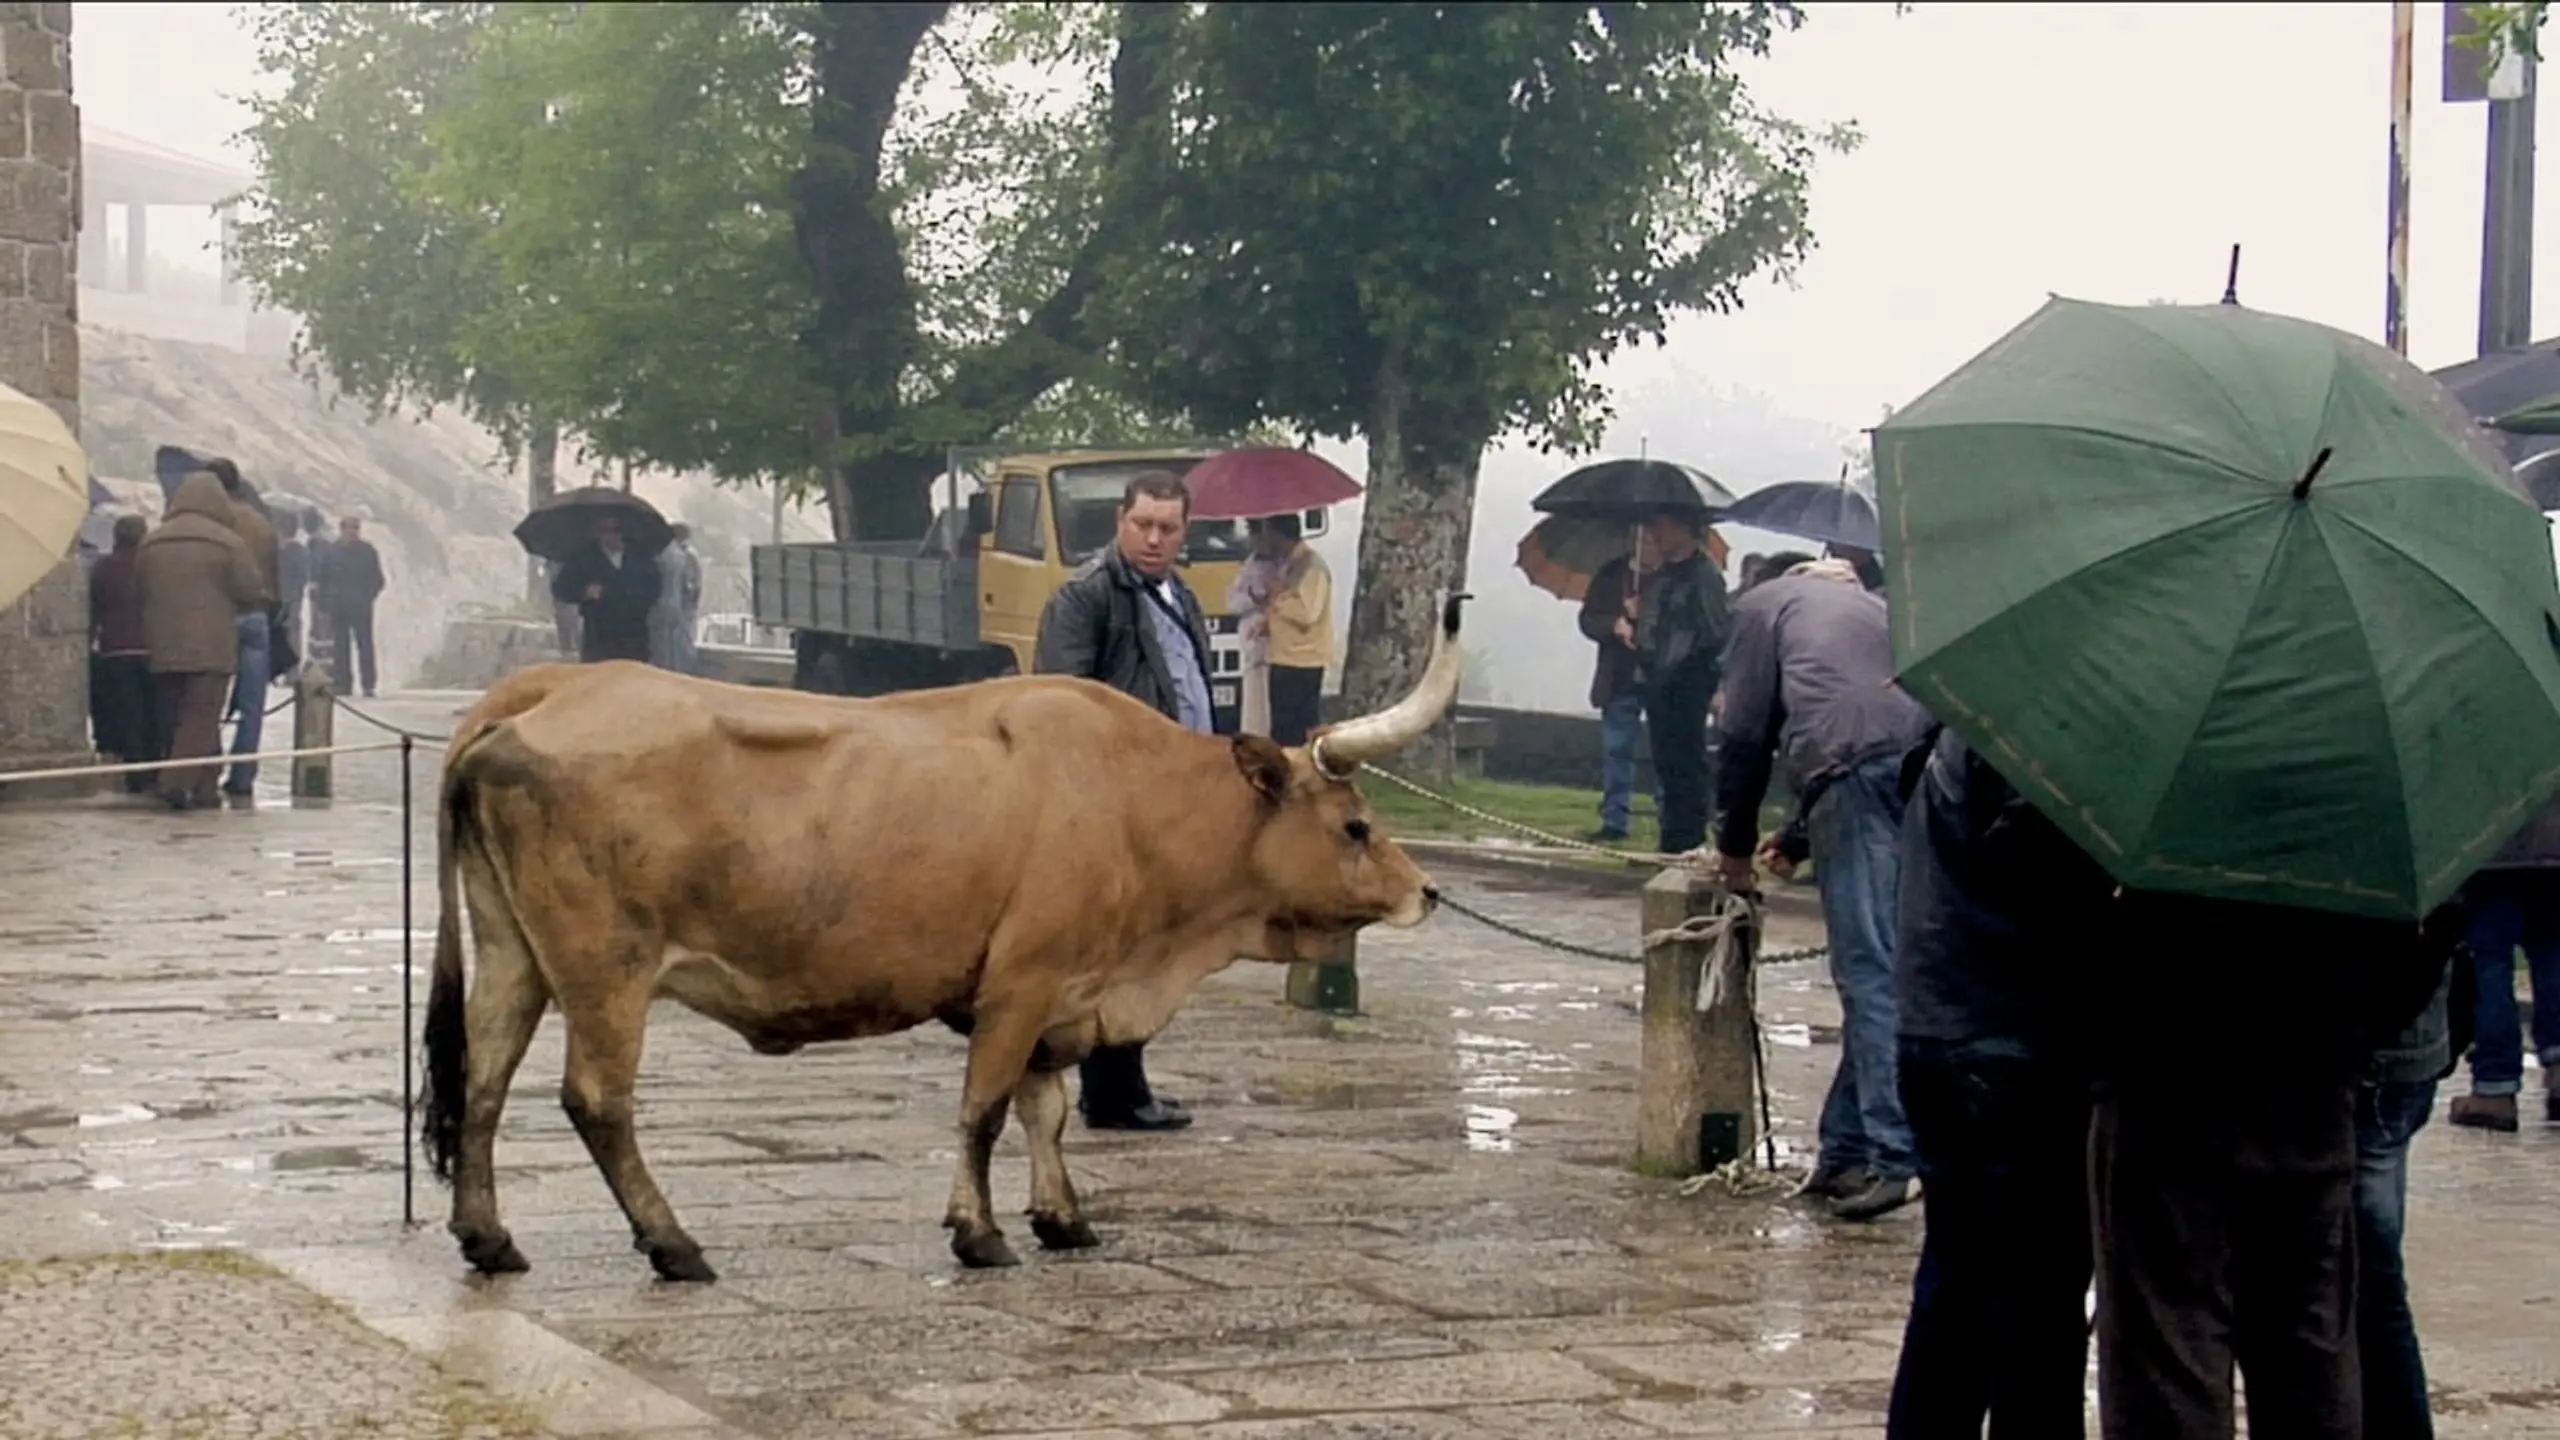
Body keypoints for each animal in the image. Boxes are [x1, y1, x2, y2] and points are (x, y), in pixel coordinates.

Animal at [417, 594, 1464, 1276]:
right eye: (1355, 826)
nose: (1428, 891)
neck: (1132, 798)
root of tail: (546, 687)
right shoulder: (1019, 986)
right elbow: (985, 1111)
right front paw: (980, 1232)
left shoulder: (1059, 995)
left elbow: (1046, 1111)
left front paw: (1062, 1218)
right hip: (607, 969)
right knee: (596, 1101)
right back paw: (672, 1244)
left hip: (513, 952)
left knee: (481, 1081)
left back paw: (489, 1238)